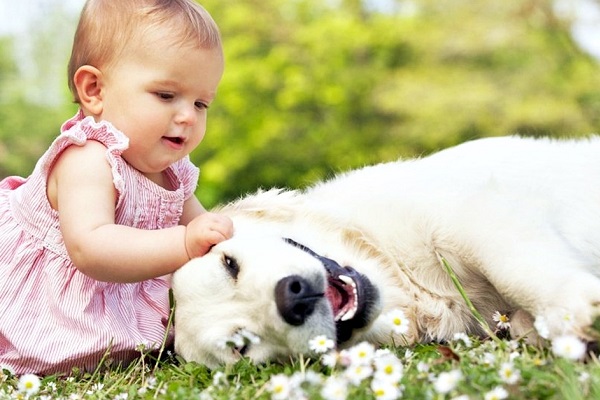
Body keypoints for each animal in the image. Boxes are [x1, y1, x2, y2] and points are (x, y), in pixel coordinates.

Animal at [171, 136, 600, 368]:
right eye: (241, 345)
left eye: (229, 264)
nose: (293, 297)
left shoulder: (470, 212)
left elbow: (514, 268)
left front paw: (577, 310)